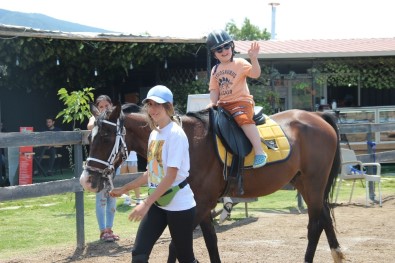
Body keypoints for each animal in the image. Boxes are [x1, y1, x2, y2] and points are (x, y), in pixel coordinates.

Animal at [79, 104, 344, 263]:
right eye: (89, 137)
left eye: (105, 137)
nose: (87, 181)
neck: (190, 142)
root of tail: (317, 117)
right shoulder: (201, 207)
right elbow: (210, 242)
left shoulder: (201, 205)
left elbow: (176, 246)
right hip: (305, 184)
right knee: (324, 216)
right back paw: (337, 253)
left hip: (313, 183)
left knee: (314, 224)